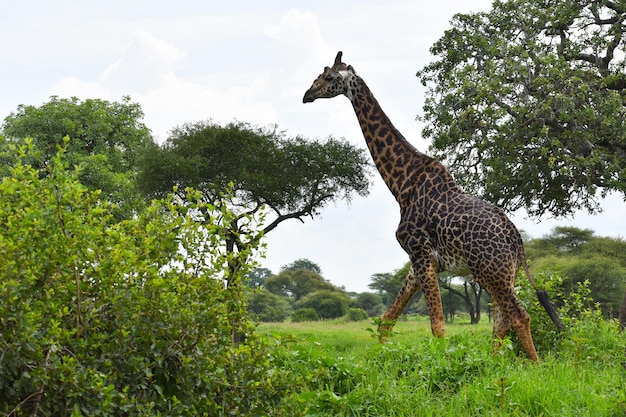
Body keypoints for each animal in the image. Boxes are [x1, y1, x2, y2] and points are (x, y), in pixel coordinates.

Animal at [302, 50, 560, 360]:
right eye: (319, 75)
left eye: (328, 77)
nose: (307, 95)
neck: (401, 185)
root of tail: (515, 238)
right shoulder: (419, 263)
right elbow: (386, 321)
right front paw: (379, 360)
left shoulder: (421, 254)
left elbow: (437, 325)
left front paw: (443, 363)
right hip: (503, 272)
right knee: (501, 320)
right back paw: (493, 363)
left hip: (489, 270)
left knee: (518, 315)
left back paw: (535, 366)